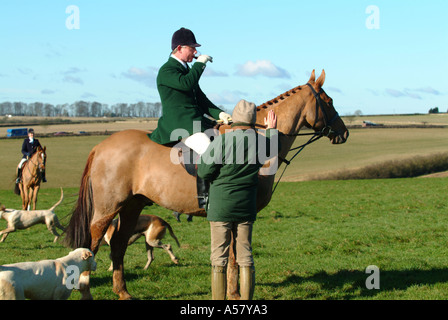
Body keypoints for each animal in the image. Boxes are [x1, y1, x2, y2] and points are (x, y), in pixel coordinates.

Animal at [64, 70, 350, 300]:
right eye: (329, 101)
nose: (344, 132)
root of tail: (101, 146)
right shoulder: (238, 213)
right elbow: (234, 257)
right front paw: (234, 294)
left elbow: (234, 256)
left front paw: (233, 292)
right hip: (107, 209)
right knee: (92, 246)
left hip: (132, 206)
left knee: (119, 244)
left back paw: (123, 292)